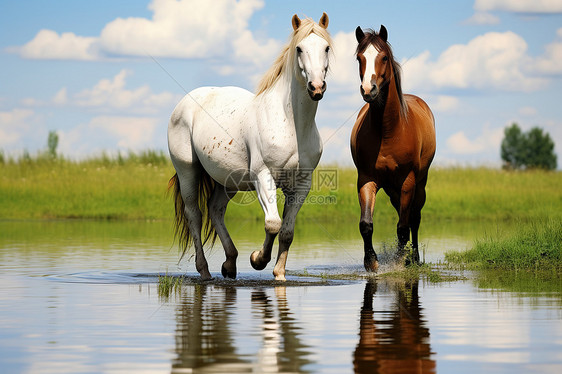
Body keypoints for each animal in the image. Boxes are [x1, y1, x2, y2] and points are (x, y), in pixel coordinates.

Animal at [168, 12, 330, 280]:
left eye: (326, 47)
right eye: (299, 48)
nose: (316, 87)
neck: (292, 123)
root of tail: (183, 104)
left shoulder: (302, 183)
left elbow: (287, 232)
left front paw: (279, 274)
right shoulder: (263, 176)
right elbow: (273, 224)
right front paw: (257, 259)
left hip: (227, 181)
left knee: (215, 210)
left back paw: (229, 264)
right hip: (188, 172)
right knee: (195, 215)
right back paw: (205, 271)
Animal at [350, 26, 434, 272]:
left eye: (384, 57)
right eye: (359, 58)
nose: (368, 89)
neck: (388, 130)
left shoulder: (408, 181)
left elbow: (403, 227)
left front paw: (400, 262)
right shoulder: (366, 179)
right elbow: (366, 224)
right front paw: (371, 262)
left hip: (418, 184)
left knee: (414, 218)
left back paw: (414, 258)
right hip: (391, 189)